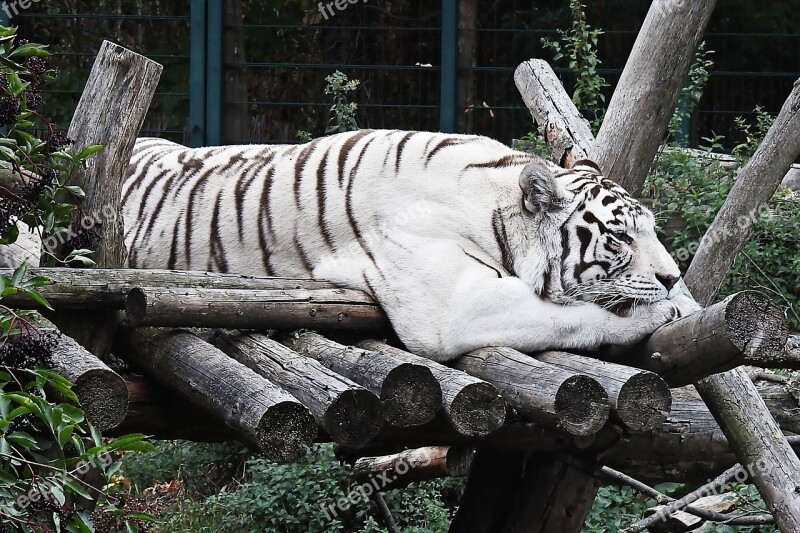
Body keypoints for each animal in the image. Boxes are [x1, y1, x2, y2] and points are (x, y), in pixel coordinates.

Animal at [120, 129, 700, 362]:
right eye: (621, 236)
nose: (672, 275)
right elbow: (575, 316)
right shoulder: (453, 306)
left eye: (652, 230)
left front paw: (684, 301)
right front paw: (662, 310)